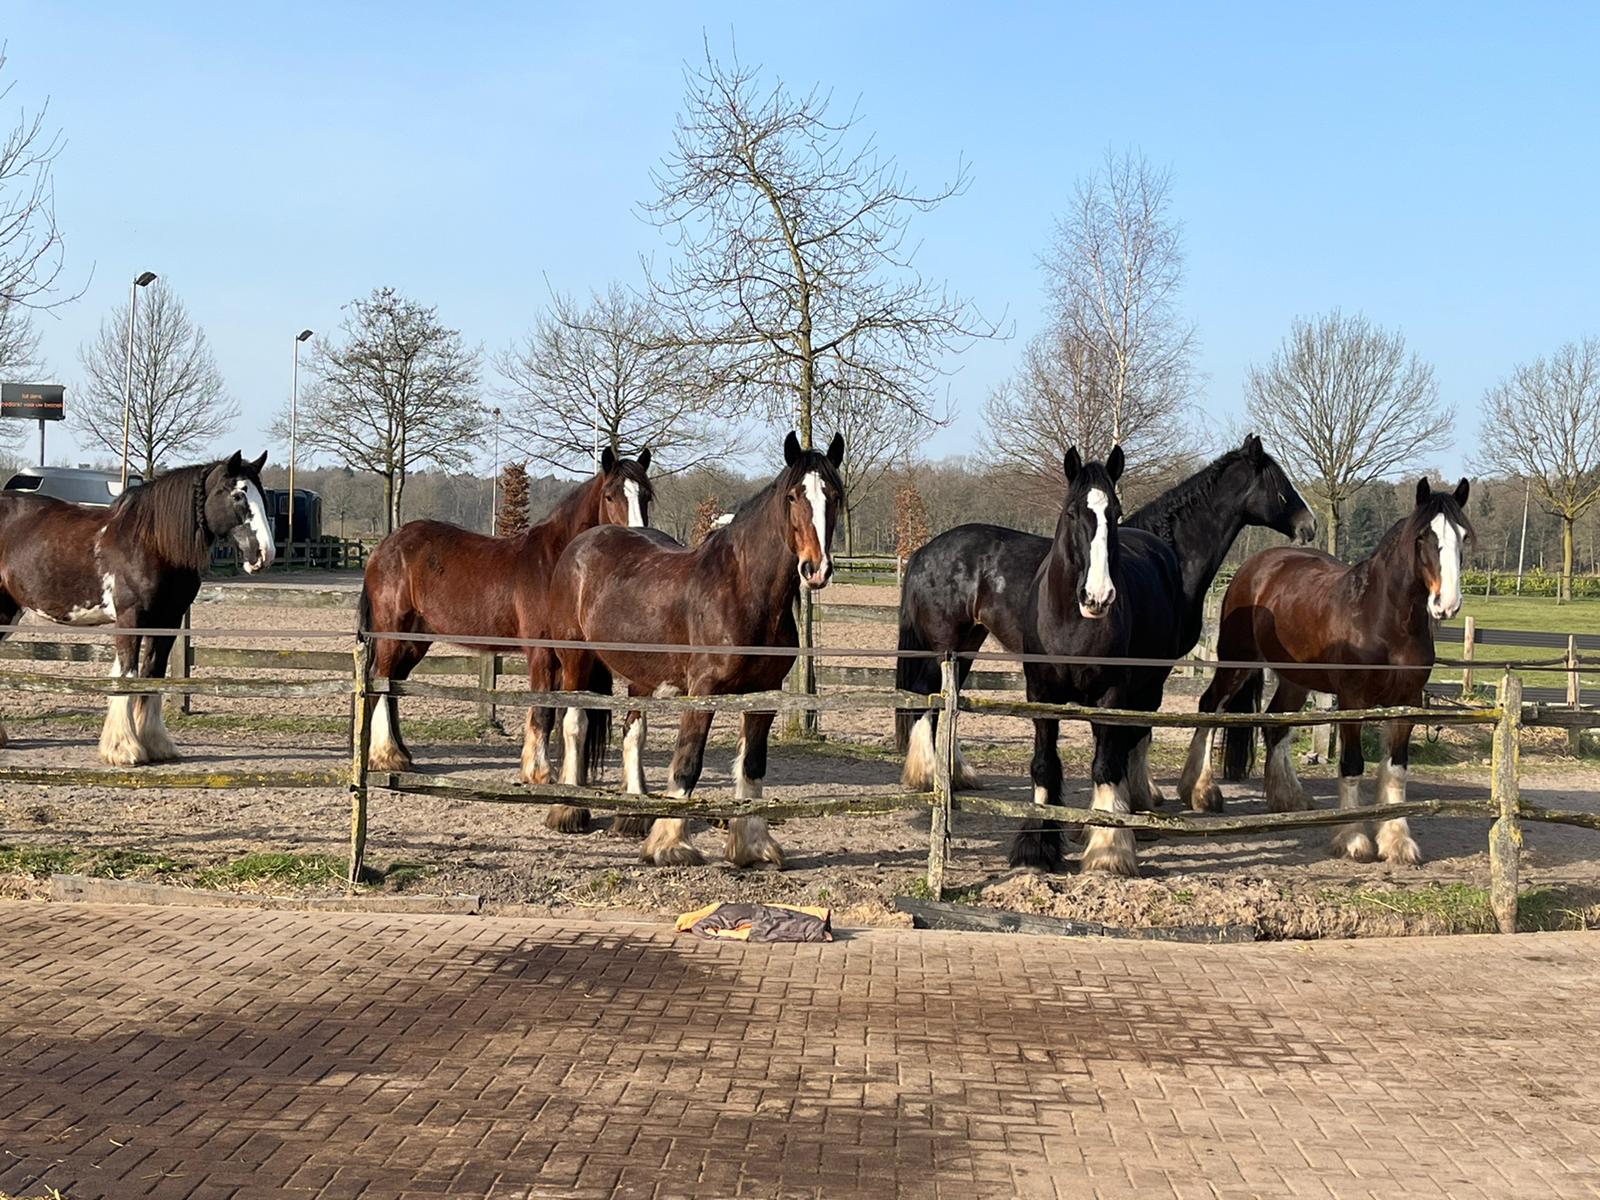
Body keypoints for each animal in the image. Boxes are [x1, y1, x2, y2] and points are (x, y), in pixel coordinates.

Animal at [0, 451, 275, 765]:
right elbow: (128, 675)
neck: (151, 543)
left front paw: (156, 744)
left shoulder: (168, 620)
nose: (264, 555)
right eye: (239, 494)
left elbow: (153, 674)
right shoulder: (130, 619)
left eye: (262, 495)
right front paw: (123, 749)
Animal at [358, 447, 652, 797]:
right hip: (392, 631)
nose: (638, 537)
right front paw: (539, 773)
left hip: (416, 641)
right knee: (380, 681)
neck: (555, 564)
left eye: (647, 495)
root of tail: (383, 548)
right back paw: (386, 756)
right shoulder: (542, 653)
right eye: (610, 496)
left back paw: (402, 755)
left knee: (394, 684)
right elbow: (543, 711)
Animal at [543, 430, 844, 868]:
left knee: (634, 731)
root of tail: (583, 543)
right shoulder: (702, 691)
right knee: (575, 724)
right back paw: (568, 810)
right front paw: (670, 845)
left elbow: (753, 766)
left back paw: (634, 815)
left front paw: (752, 845)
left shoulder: (764, 696)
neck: (742, 591)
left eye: (834, 495)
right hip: (575, 659)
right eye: (793, 496)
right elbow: (688, 762)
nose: (815, 569)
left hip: (641, 673)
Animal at [896, 433, 1317, 805]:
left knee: (942, 701)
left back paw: (957, 774)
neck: (1172, 555)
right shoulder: (1153, 668)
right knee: (925, 698)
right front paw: (1140, 795)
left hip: (967, 644)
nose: (1309, 525)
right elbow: (1138, 728)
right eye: (1280, 482)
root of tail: (923, 553)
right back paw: (929, 775)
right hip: (945, 645)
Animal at [1181, 478, 1473, 866]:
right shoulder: (1352, 700)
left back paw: (1289, 799)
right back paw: (1199, 792)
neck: (1385, 621)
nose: (1447, 604)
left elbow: (1396, 769)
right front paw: (1352, 839)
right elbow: (1351, 765)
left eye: (1463, 536)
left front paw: (1397, 842)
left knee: (1276, 725)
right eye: (1423, 536)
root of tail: (1256, 566)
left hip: (1294, 679)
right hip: (1237, 663)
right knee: (1210, 708)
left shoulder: (1407, 703)